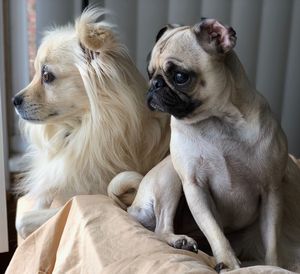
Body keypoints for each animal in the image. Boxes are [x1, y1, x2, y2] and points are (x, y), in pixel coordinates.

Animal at [12, 8, 170, 240]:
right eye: (35, 73)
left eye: (47, 76)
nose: (14, 100)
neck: (80, 130)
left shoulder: (92, 195)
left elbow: (23, 221)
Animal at [120, 19, 300, 272]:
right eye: (149, 73)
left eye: (180, 76)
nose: (154, 84)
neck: (218, 120)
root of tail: (132, 204)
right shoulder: (195, 187)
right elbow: (215, 232)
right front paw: (230, 264)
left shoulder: (271, 192)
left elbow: (272, 243)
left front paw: (275, 267)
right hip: (171, 178)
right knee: (160, 228)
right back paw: (180, 240)